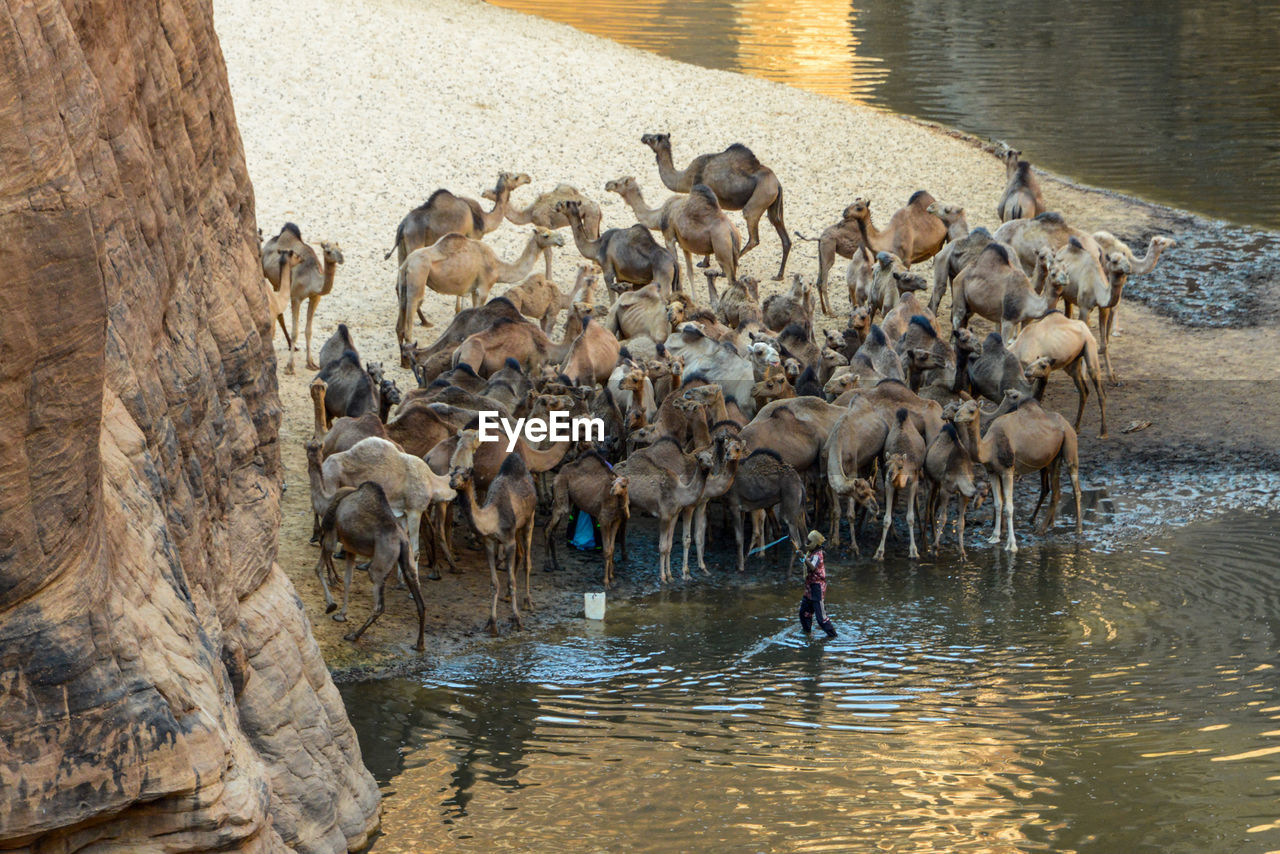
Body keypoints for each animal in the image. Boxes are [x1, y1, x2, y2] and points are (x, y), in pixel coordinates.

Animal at [396, 226, 563, 348]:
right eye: (546, 235)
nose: (561, 239)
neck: (498, 267)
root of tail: (407, 263)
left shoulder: (474, 290)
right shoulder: (483, 288)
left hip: (403, 279)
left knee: (402, 307)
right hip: (419, 274)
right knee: (413, 303)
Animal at [450, 453, 535, 635]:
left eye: (465, 475)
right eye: (451, 474)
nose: (452, 483)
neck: (492, 519)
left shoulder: (508, 541)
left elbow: (511, 581)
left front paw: (517, 621)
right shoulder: (489, 542)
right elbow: (494, 583)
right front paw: (492, 623)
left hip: (529, 519)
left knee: (527, 561)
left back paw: (528, 602)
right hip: (517, 529)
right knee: (521, 554)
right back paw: (508, 596)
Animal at [540, 453, 629, 588]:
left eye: (623, 485)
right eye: (613, 484)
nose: (612, 491)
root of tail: (557, 475)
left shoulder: (616, 520)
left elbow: (612, 549)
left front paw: (612, 578)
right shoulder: (604, 520)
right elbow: (607, 550)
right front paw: (606, 582)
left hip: (565, 501)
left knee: (550, 527)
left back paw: (557, 565)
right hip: (561, 492)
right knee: (548, 529)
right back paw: (547, 566)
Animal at [640, 133, 788, 279]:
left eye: (654, 138)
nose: (643, 137)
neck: (687, 177)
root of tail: (777, 184)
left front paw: (705, 262)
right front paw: (705, 263)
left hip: (757, 201)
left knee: (753, 236)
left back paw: (728, 268)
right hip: (772, 205)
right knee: (781, 231)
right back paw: (779, 275)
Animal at [957, 396, 1085, 550]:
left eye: (971, 410)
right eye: (959, 407)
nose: (957, 416)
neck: (989, 447)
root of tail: (1067, 424)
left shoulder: (1007, 470)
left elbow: (1009, 507)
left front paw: (1011, 544)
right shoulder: (992, 471)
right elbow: (998, 504)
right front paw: (994, 537)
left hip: (1070, 446)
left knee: (1076, 488)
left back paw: (1077, 529)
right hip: (1054, 458)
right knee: (1056, 491)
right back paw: (1044, 527)